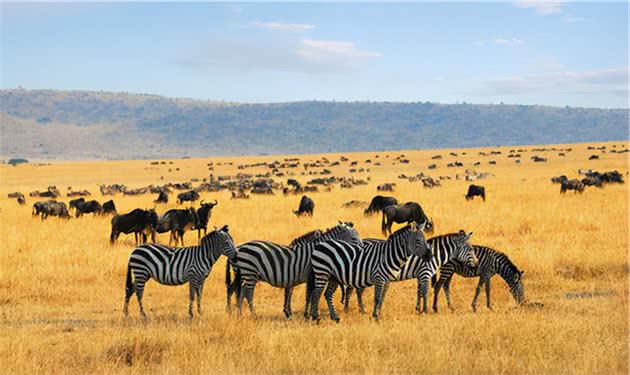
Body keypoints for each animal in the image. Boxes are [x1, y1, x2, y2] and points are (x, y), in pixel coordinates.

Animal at [232, 222, 362, 322]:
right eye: (353, 238)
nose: (362, 249)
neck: (319, 250)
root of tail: (241, 247)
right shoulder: (312, 275)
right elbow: (310, 295)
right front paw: (308, 315)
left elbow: (309, 295)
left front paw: (307, 314)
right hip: (250, 273)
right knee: (248, 294)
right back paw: (254, 315)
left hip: (249, 274)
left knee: (242, 292)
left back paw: (240, 314)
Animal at [346, 231, 478, 316]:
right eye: (470, 249)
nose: (476, 265)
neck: (434, 255)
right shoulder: (425, 273)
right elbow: (424, 292)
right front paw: (425, 311)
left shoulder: (420, 275)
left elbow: (419, 292)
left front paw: (418, 310)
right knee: (353, 290)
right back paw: (352, 310)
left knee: (357, 290)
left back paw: (360, 310)